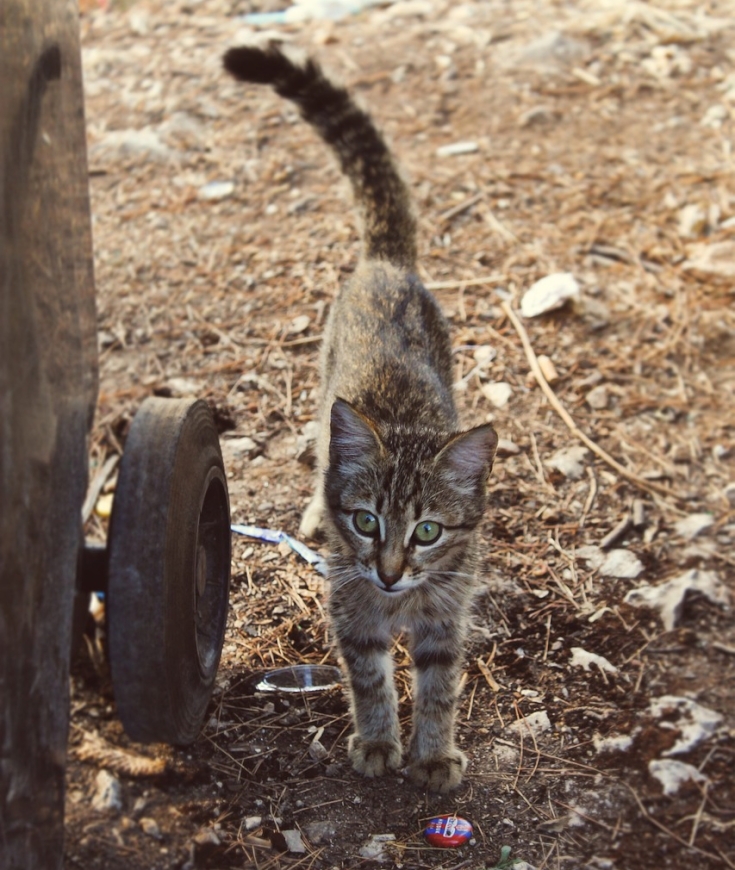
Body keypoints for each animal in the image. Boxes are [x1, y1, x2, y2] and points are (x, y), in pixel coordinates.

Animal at [224, 47, 500, 796]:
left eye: (428, 530)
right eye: (366, 521)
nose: (389, 571)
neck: (400, 605)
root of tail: (385, 262)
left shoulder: (445, 620)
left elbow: (438, 689)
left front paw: (432, 753)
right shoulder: (352, 613)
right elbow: (371, 682)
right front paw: (379, 743)